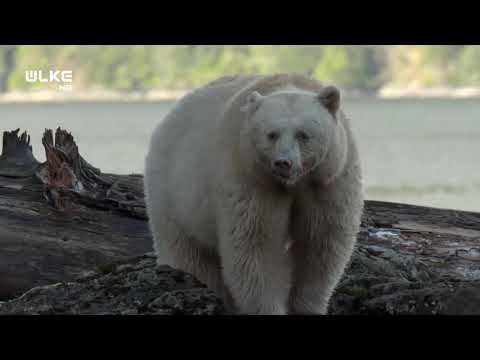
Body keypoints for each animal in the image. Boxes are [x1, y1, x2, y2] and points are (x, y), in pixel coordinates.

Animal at [143, 74, 364, 316]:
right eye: (272, 134)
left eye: (303, 134)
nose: (283, 162)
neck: (292, 183)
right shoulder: (250, 177)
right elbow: (256, 244)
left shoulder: (329, 180)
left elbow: (321, 241)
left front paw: (307, 306)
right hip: (173, 193)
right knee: (190, 254)